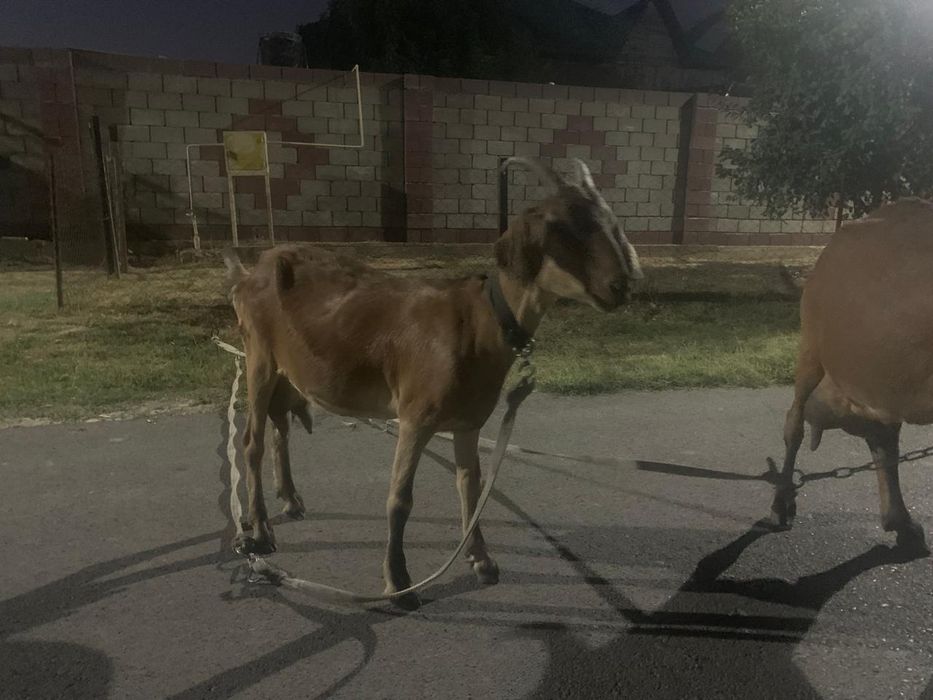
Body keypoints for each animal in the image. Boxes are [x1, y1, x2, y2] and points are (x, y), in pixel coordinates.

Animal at [223, 158, 643, 608]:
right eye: (560, 228)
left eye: (610, 223)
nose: (621, 286)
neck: (479, 322)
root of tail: (249, 273)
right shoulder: (415, 415)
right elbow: (400, 498)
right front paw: (399, 583)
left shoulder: (468, 420)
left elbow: (471, 484)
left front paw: (481, 561)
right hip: (259, 356)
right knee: (251, 441)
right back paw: (261, 533)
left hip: (287, 370)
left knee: (281, 427)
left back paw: (291, 500)